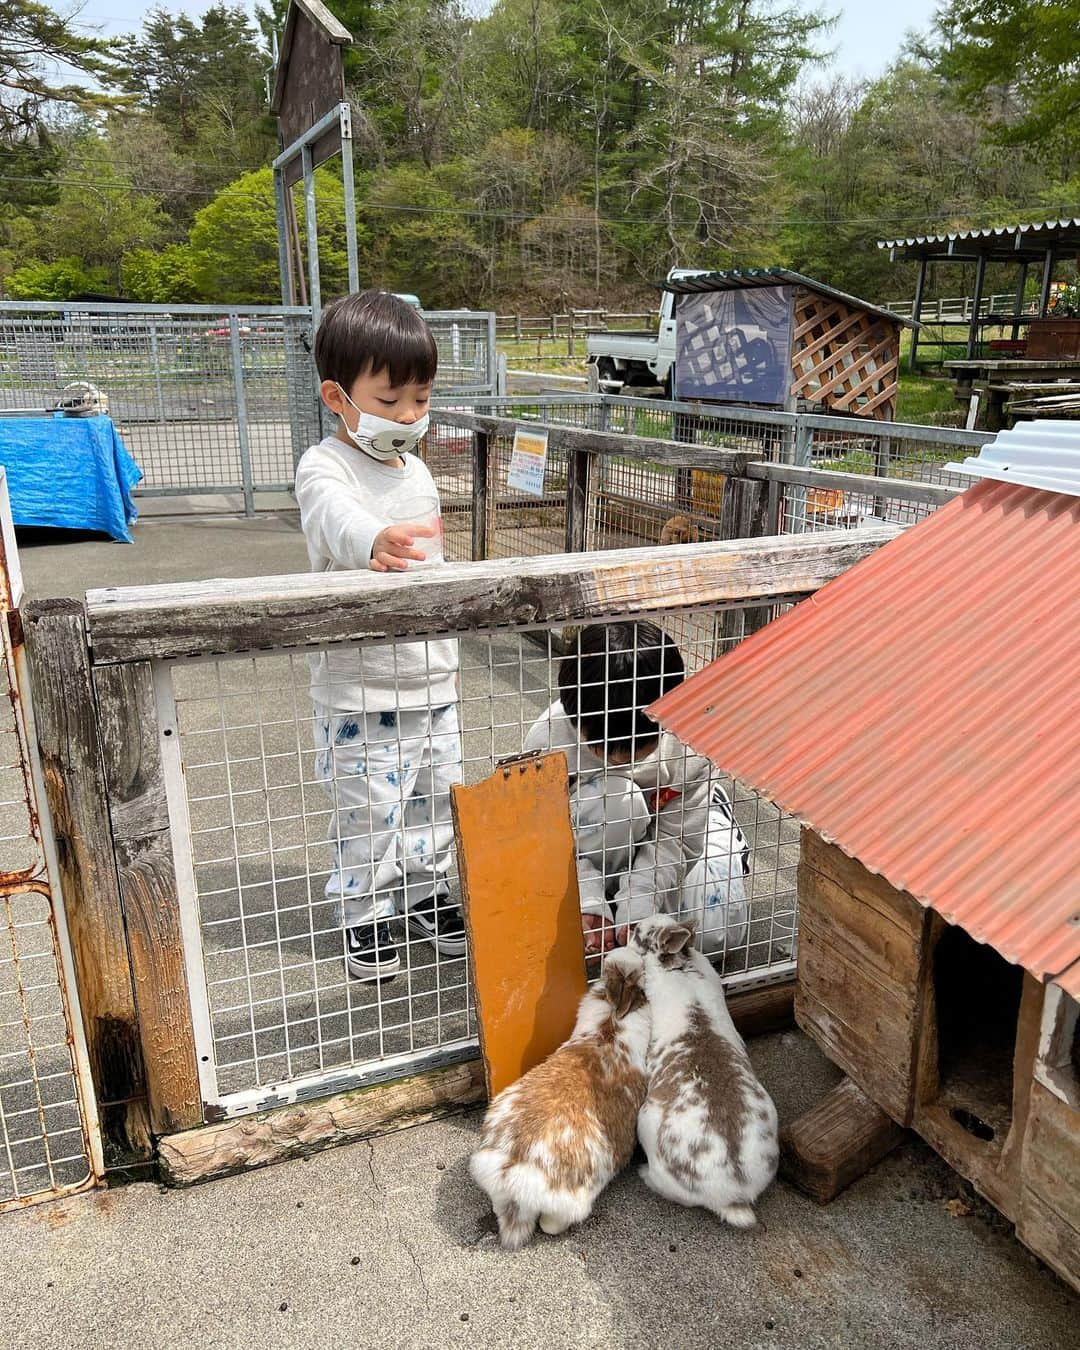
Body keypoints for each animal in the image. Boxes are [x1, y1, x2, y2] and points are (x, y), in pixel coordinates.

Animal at [631, 912, 777, 1231]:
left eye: (638, 933)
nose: (630, 927)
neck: (679, 967)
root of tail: (732, 1195)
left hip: (645, 1124)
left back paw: (643, 1173)